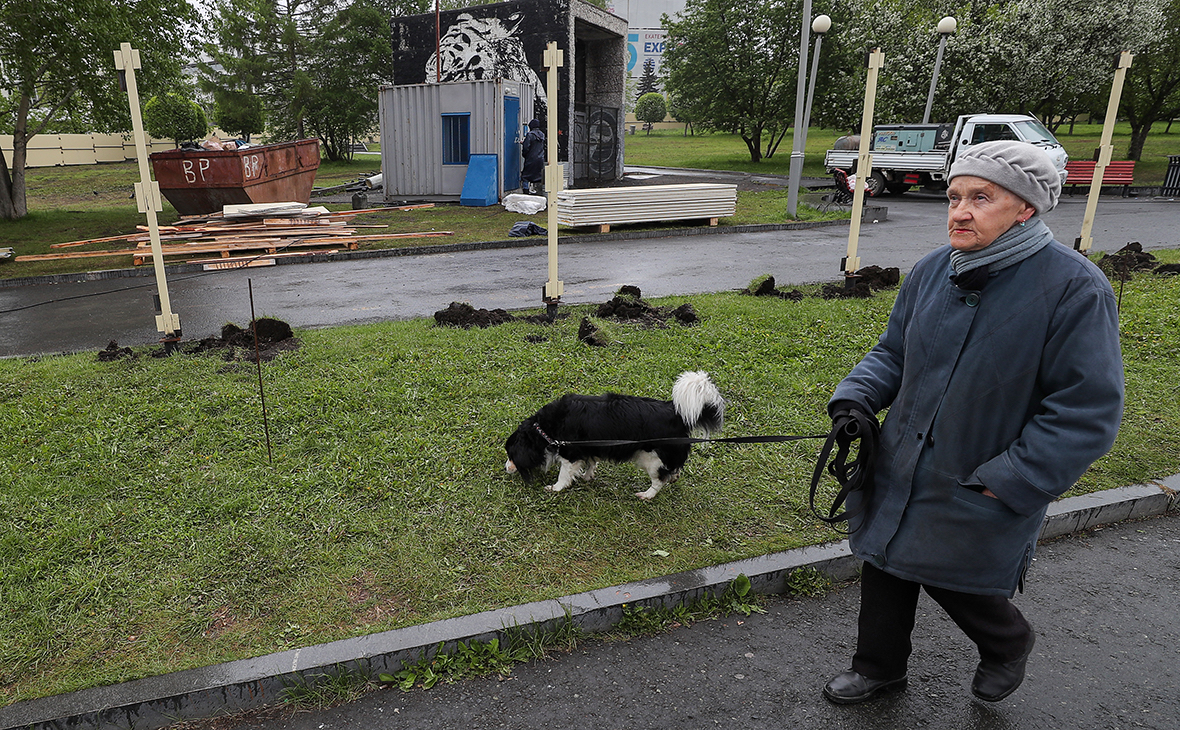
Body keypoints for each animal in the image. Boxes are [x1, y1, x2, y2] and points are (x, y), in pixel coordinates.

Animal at [502, 375, 722, 500]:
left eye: (511, 455)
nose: (505, 468)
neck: (543, 428)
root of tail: (676, 412)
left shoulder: (570, 451)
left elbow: (564, 474)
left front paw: (555, 488)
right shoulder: (589, 446)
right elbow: (590, 463)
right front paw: (588, 476)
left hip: (651, 458)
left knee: (659, 479)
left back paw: (647, 495)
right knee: (673, 469)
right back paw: (673, 477)